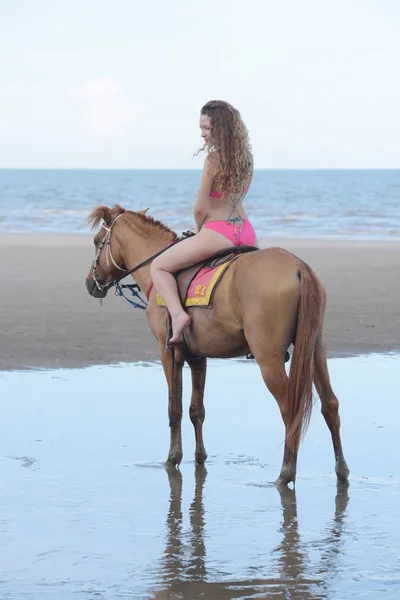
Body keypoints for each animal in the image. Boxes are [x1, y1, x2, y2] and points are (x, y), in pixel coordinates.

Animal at [86, 205, 348, 488]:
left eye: (97, 241)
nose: (91, 283)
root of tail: (298, 266)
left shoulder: (168, 353)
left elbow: (174, 409)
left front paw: (172, 458)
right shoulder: (197, 357)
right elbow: (196, 410)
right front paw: (199, 457)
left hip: (269, 358)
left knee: (290, 408)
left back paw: (286, 473)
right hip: (315, 348)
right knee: (330, 405)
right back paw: (341, 471)